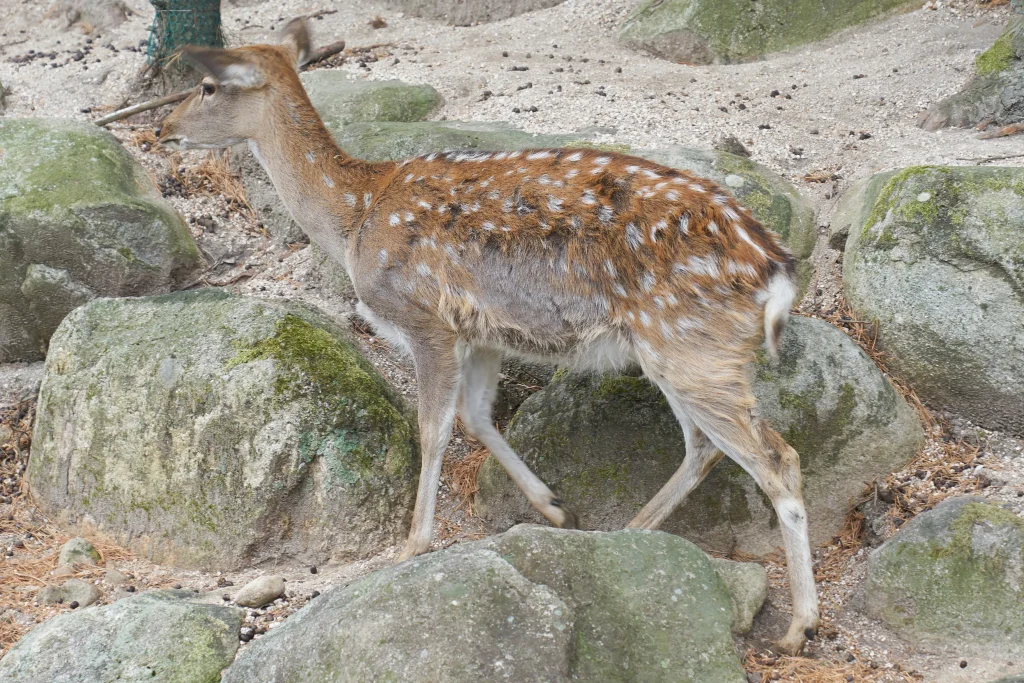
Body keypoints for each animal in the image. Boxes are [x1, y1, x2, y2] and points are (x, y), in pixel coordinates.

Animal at [155, 18, 819, 655]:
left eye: (208, 86)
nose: (162, 128)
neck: (354, 217)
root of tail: (774, 267)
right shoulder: (482, 335)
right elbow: (475, 418)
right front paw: (553, 506)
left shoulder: (425, 317)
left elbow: (432, 429)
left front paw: (413, 545)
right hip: (682, 349)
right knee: (710, 446)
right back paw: (628, 533)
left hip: (688, 341)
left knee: (776, 459)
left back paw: (800, 627)